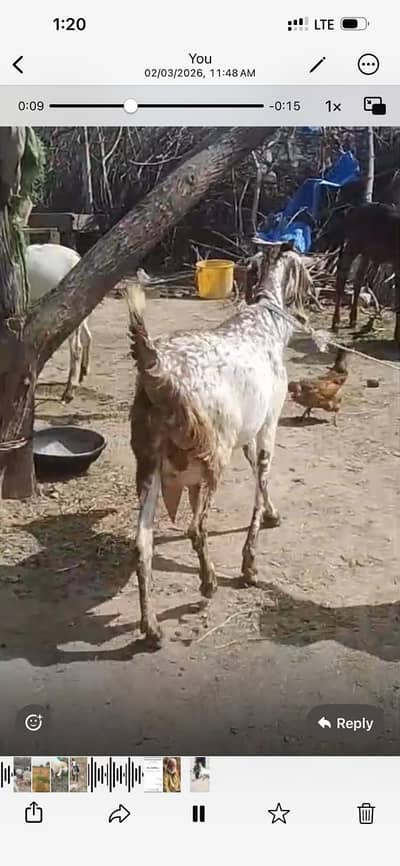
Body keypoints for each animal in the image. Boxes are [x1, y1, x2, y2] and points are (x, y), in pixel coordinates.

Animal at [127, 242, 313, 645]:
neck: (265, 324)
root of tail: (158, 373)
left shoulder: (245, 436)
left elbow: (257, 480)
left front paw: (273, 514)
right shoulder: (267, 427)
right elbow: (260, 483)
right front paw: (249, 566)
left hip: (149, 467)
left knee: (142, 543)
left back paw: (151, 627)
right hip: (215, 458)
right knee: (196, 529)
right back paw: (209, 582)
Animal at [331, 203, 400, 342]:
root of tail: (352, 209)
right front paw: (397, 334)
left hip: (365, 253)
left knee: (358, 280)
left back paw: (353, 319)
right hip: (353, 246)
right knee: (342, 276)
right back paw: (336, 321)